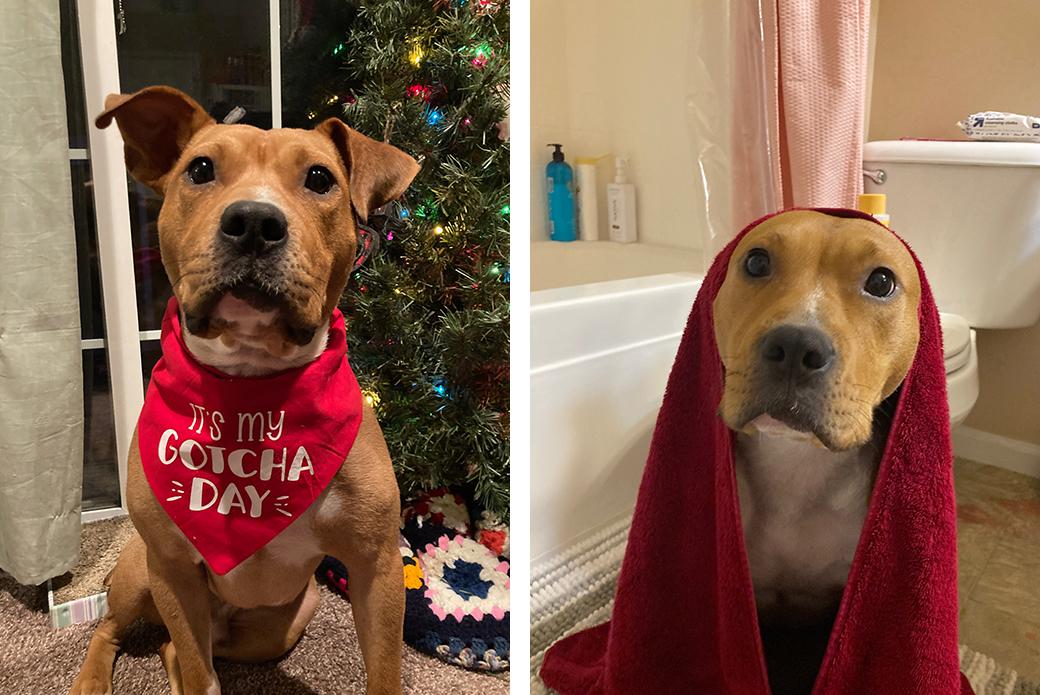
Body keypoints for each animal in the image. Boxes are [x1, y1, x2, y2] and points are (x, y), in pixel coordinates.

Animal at [69, 86, 420, 695]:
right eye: (200, 169)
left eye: (320, 178)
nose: (254, 221)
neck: (252, 389)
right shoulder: (173, 567)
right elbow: (196, 667)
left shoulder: (376, 568)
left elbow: (383, 672)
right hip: (141, 575)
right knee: (118, 629)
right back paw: (91, 679)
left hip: (278, 627)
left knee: (172, 647)